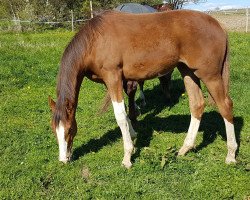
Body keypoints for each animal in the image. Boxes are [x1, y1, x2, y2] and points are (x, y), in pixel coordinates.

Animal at [48, 10, 238, 168]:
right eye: (54, 129)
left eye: (70, 129)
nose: (63, 160)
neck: (95, 40)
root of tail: (217, 25)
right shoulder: (114, 81)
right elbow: (124, 112)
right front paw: (132, 137)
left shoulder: (113, 77)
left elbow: (120, 116)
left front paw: (127, 157)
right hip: (188, 72)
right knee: (197, 105)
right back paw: (185, 148)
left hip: (210, 75)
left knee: (225, 105)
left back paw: (230, 155)